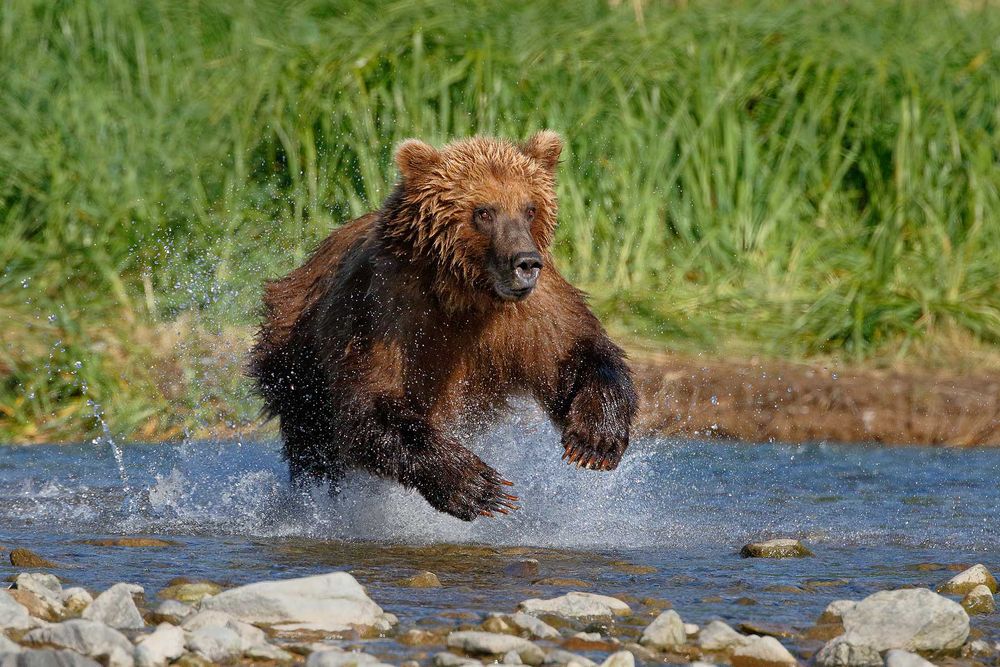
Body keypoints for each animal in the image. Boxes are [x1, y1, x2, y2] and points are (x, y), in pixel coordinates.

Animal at [249, 131, 637, 521]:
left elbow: (574, 352)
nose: (526, 263)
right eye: (484, 211)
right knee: (313, 440)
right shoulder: (386, 310)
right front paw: (478, 486)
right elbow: (372, 399)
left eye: (530, 208)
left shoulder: (530, 311)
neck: (466, 293)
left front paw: (595, 439)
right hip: (296, 358)